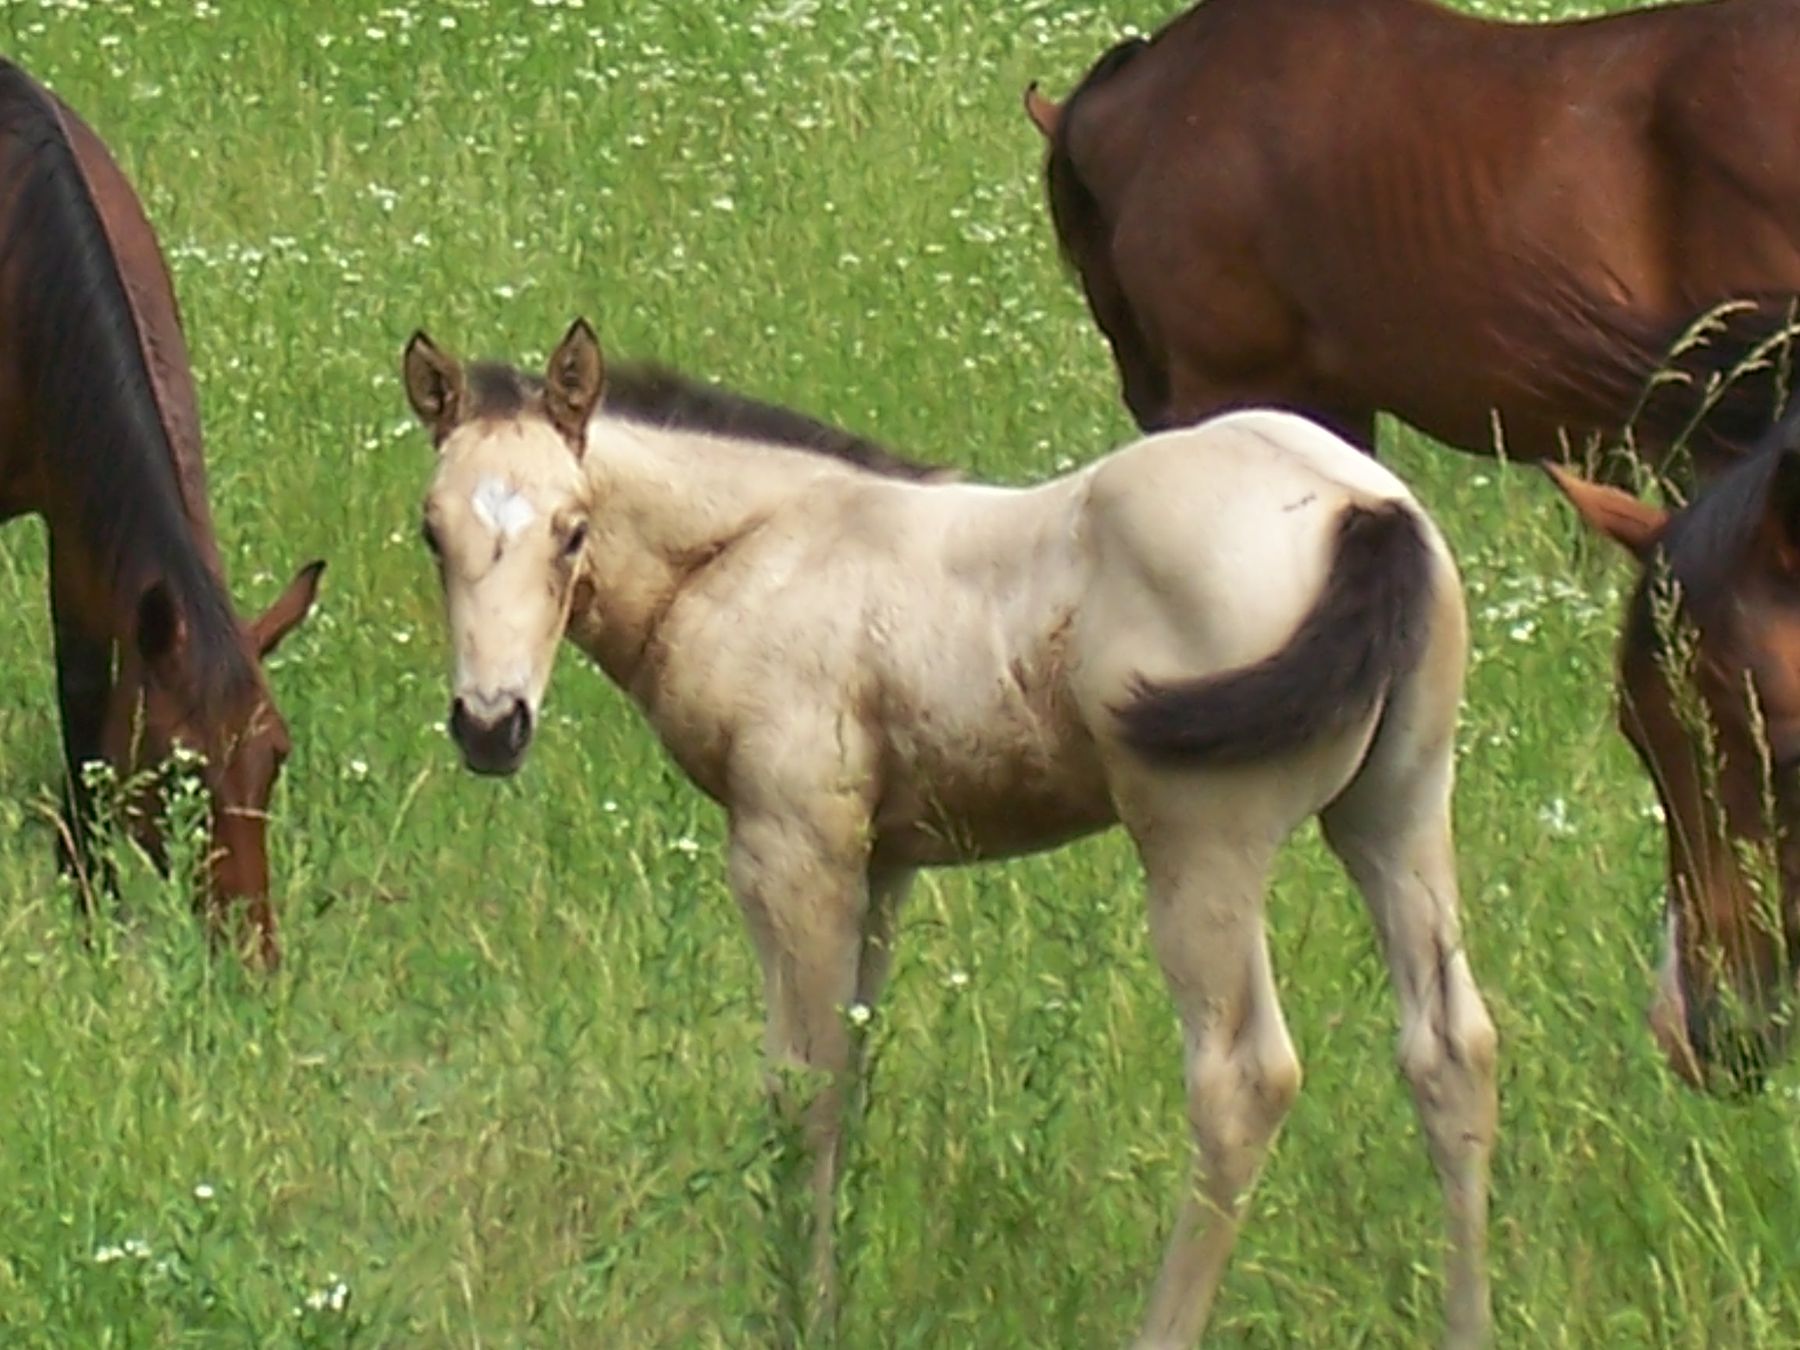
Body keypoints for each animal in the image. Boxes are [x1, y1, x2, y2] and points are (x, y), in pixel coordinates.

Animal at [0, 63, 320, 964]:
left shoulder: (78, 531)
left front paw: (90, 901)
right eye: (180, 769)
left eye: (276, 755)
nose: (254, 956)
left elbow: (84, 700)